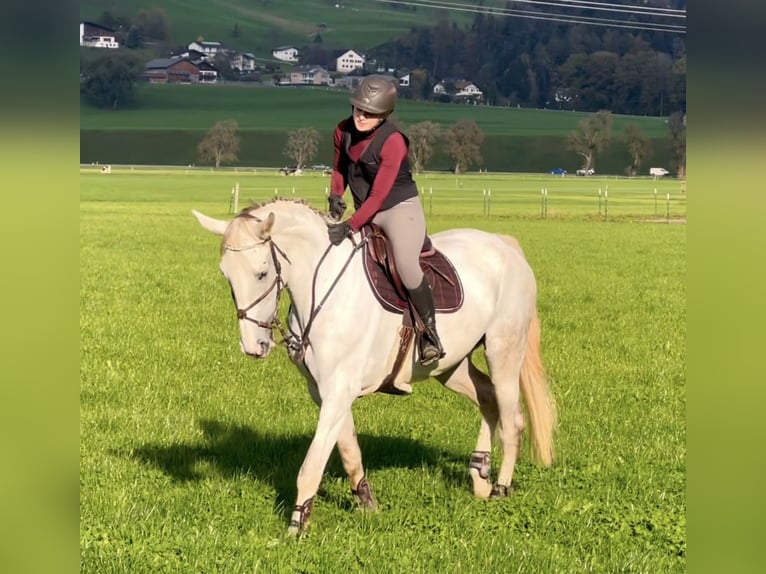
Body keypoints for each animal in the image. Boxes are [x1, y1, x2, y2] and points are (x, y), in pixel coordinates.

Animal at [192, 198, 560, 536]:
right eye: (226, 274)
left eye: (262, 273)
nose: (253, 346)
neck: (321, 289)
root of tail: (504, 246)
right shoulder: (325, 391)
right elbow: (348, 450)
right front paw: (366, 503)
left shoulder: (339, 390)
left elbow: (313, 463)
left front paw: (297, 524)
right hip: (450, 366)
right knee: (487, 397)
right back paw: (479, 474)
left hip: (503, 353)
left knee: (512, 419)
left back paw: (500, 487)